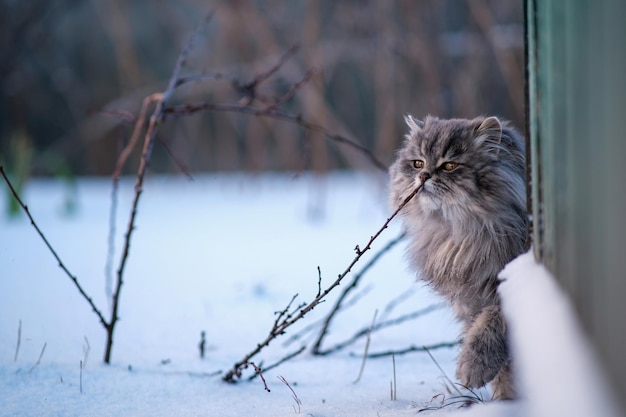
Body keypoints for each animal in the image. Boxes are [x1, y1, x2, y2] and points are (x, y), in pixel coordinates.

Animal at [388, 114, 524, 400]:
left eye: (450, 165)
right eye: (417, 163)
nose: (424, 175)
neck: (459, 233)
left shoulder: (501, 289)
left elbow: (489, 328)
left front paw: (473, 369)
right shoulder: (469, 302)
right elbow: (503, 364)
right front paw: (503, 398)